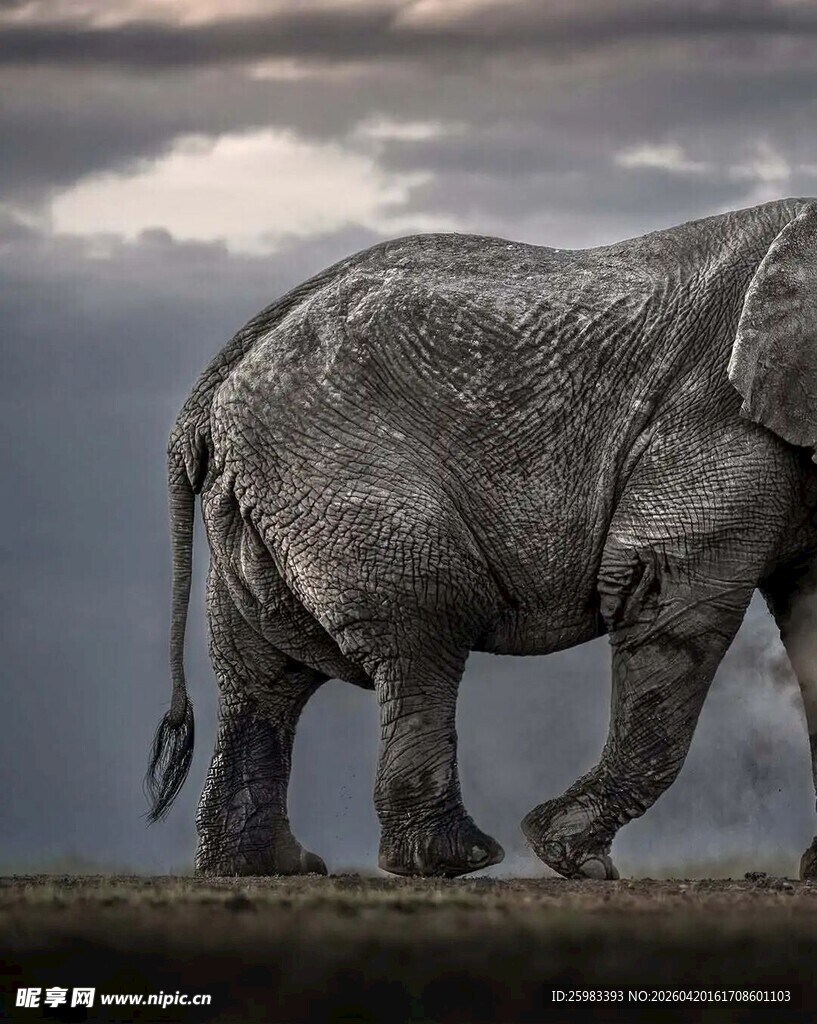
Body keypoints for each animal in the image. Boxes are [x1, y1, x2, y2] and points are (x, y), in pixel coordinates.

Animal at [147, 196, 817, 881]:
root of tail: (213, 389)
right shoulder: (717, 417)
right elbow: (671, 602)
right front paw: (572, 860)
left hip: (261, 498)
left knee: (259, 671)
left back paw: (266, 866)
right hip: (339, 475)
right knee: (422, 630)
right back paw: (457, 859)